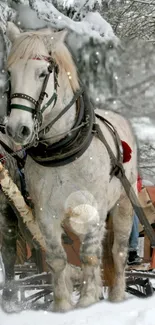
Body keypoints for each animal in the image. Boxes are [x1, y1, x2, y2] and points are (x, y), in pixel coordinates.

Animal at [5, 21, 137, 310]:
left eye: (43, 72)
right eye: (9, 72)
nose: (17, 129)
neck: (63, 148)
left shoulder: (94, 209)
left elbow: (89, 256)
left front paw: (87, 301)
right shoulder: (46, 214)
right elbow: (58, 259)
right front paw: (63, 306)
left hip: (123, 204)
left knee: (118, 252)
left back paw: (117, 297)